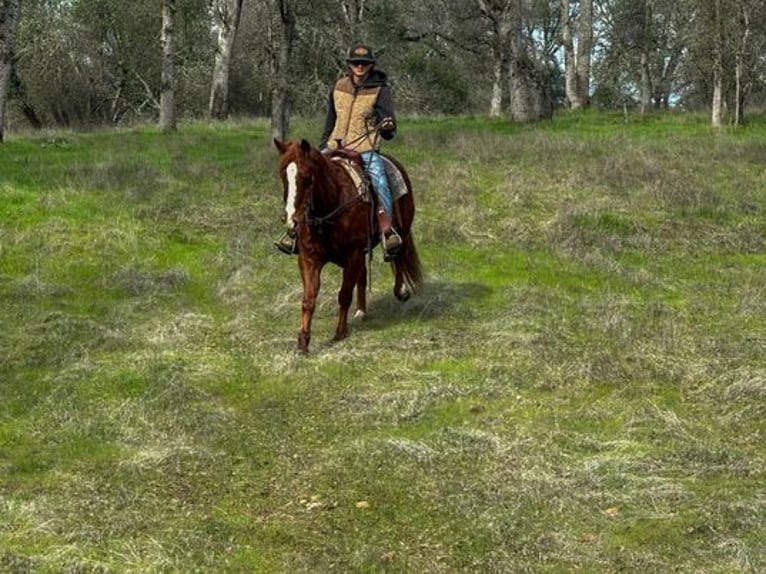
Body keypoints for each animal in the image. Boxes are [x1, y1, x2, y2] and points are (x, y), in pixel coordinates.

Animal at [274, 140, 424, 356]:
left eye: (306, 177)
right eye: (282, 175)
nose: (291, 220)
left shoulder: (352, 255)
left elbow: (344, 294)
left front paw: (340, 333)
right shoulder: (309, 259)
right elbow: (308, 299)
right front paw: (303, 341)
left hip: (402, 229)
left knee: (399, 255)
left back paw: (401, 290)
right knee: (363, 276)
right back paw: (361, 311)